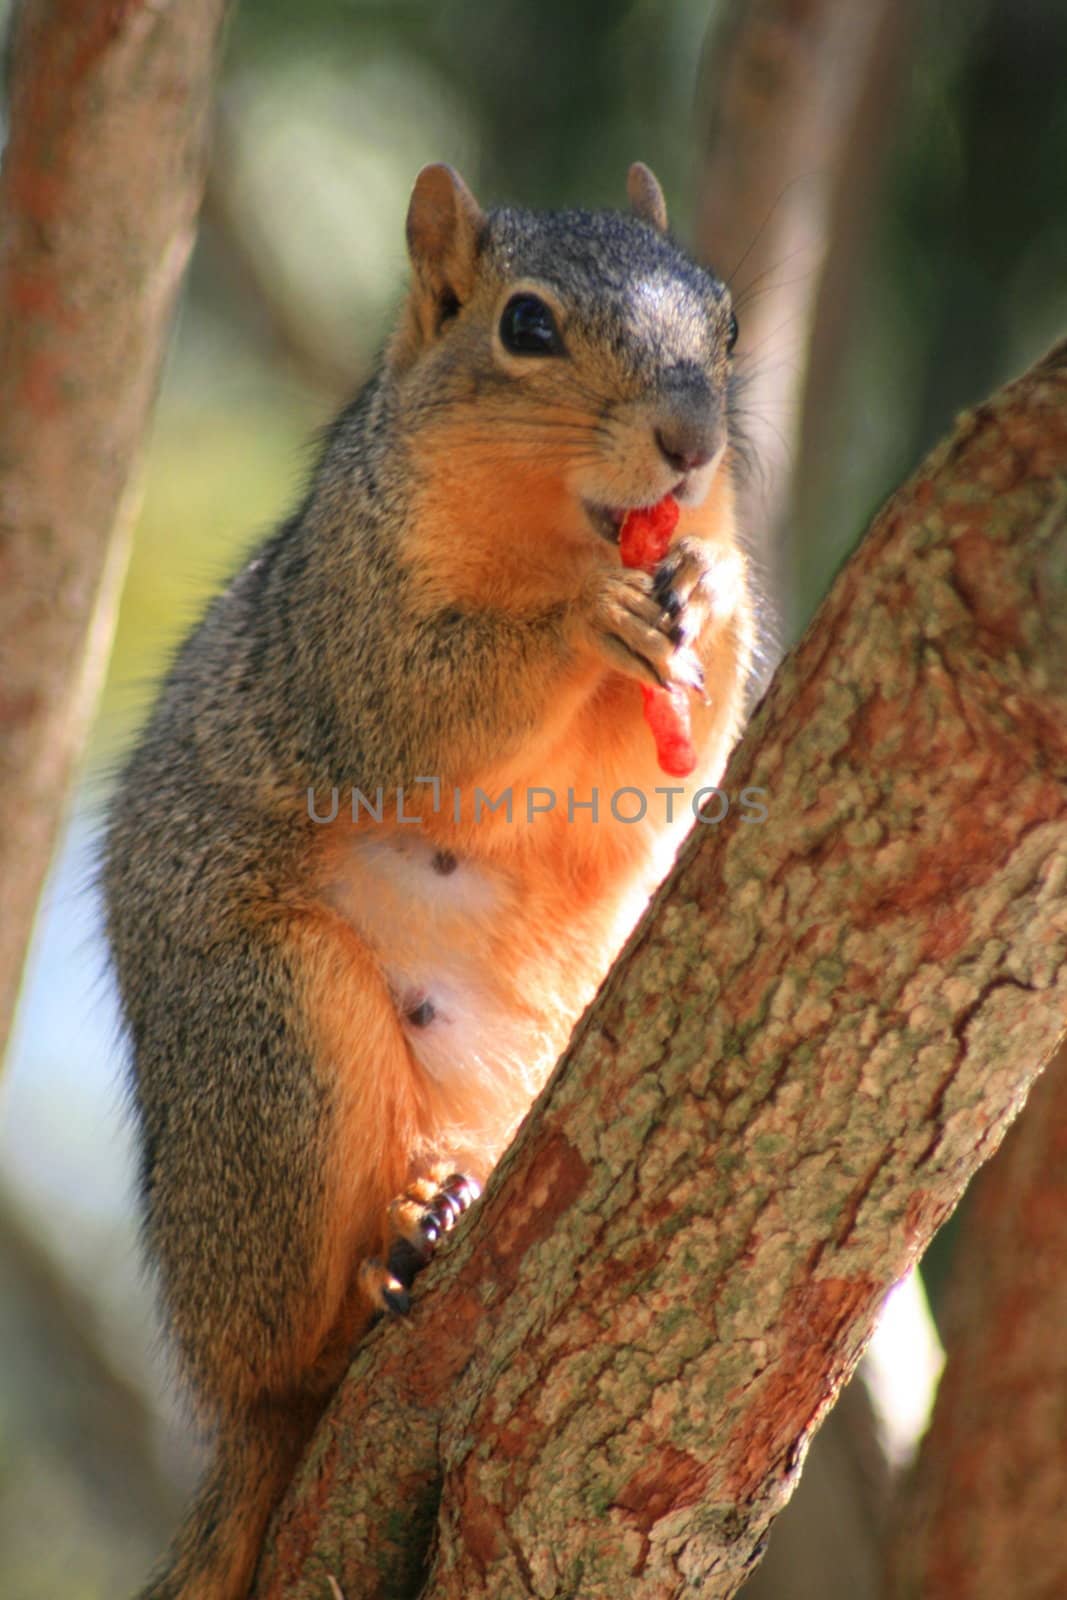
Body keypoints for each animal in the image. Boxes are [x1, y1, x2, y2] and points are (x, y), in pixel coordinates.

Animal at [97, 162, 751, 1600]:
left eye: (726, 320)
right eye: (525, 325)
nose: (690, 441)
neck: (562, 534)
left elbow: (651, 787)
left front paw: (712, 579)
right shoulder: (344, 620)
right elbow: (423, 711)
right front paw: (577, 626)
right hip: (277, 1038)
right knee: (277, 1361)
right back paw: (379, 1265)